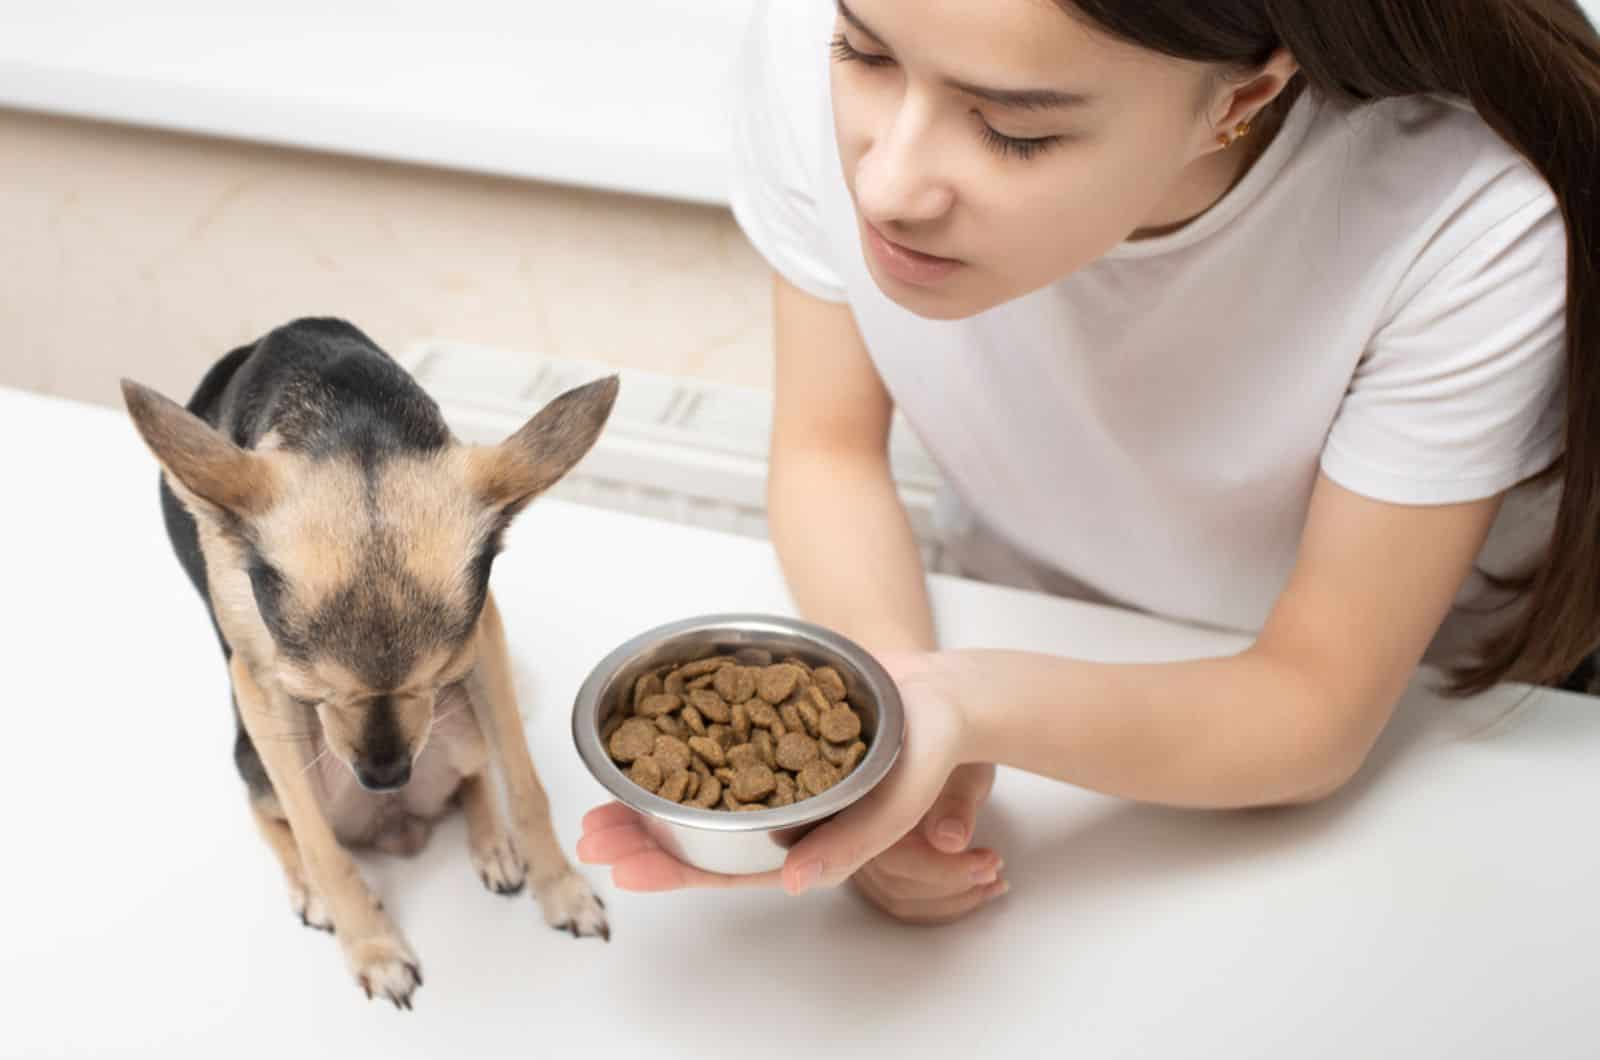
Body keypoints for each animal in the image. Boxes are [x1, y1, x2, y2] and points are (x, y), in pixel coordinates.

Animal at [120, 320, 611, 1011]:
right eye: (310, 691)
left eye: (442, 677)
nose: (386, 777)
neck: (351, 423)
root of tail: (396, 828)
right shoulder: (262, 682)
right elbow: (320, 845)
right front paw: (373, 948)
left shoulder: (483, 639)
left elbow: (525, 784)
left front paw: (560, 889)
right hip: (259, 756)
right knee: (271, 813)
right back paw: (309, 889)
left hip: (463, 726)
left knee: (475, 774)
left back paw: (492, 844)